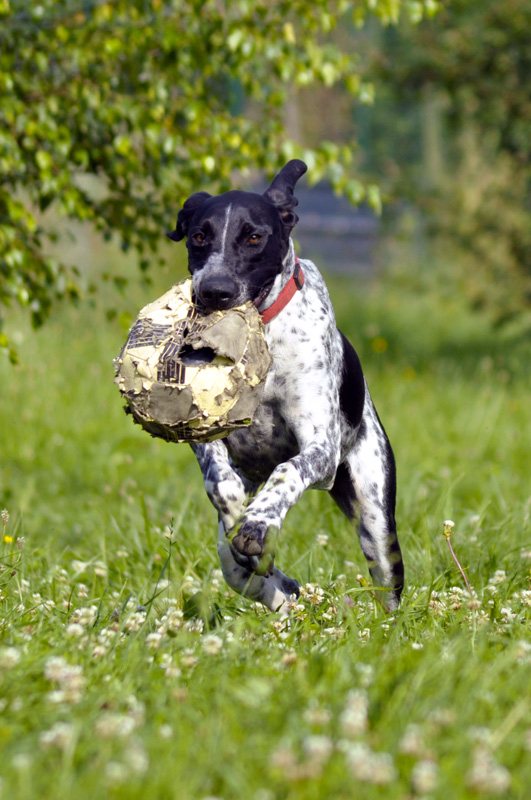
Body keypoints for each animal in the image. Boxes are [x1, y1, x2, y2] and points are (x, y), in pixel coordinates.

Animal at [168, 161, 406, 612]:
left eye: (254, 237)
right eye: (199, 236)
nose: (214, 291)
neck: (260, 338)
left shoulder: (320, 447)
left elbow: (287, 470)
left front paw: (258, 524)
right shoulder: (206, 431)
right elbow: (220, 483)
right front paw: (242, 523)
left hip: (375, 516)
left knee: (388, 581)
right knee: (240, 568)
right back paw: (277, 586)